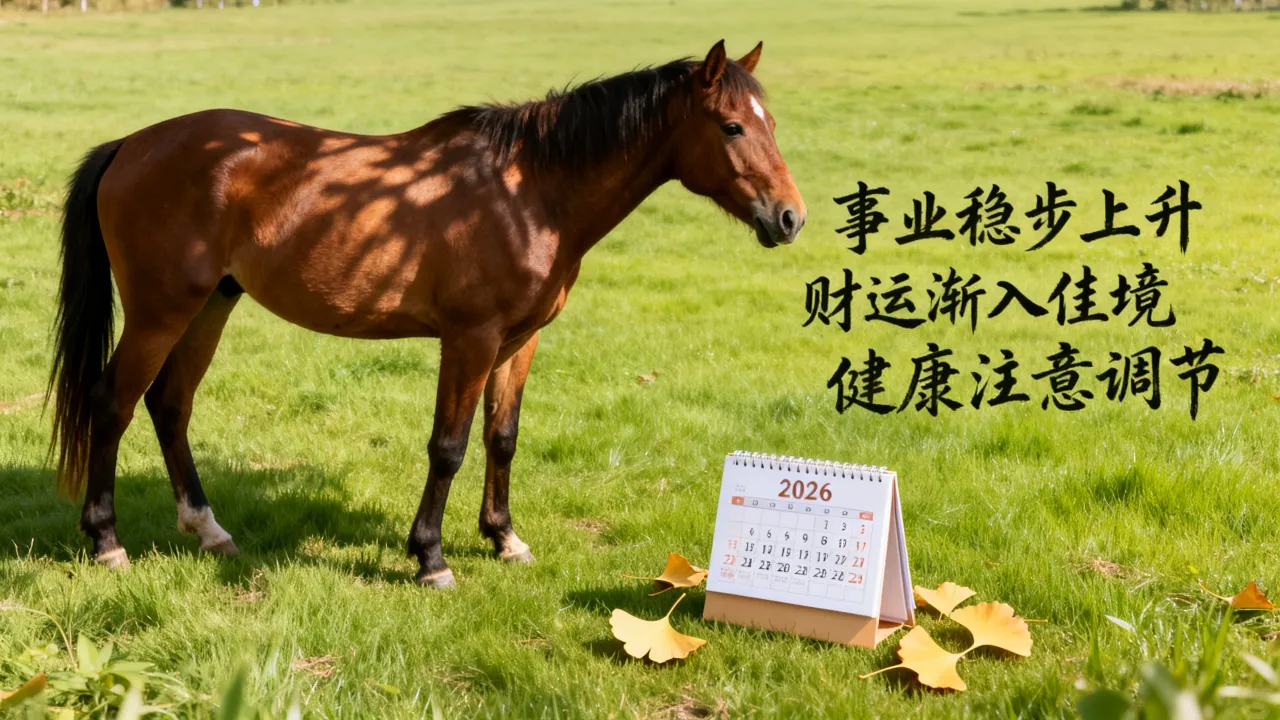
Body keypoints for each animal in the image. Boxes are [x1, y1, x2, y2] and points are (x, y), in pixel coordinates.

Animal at [48, 40, 806, 587]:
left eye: (773, 123)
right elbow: (450, 446)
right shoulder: (470, 340)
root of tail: (131, 145)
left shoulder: (519, 342)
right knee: (113, 402)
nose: (790, 218)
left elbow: (503, 437)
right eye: (731, 126)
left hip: (209, 305)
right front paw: (431, 558)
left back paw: (209, 530)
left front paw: (504, 538)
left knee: (170, 404)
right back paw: (107, 541)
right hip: (160, 312)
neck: (531, 191)